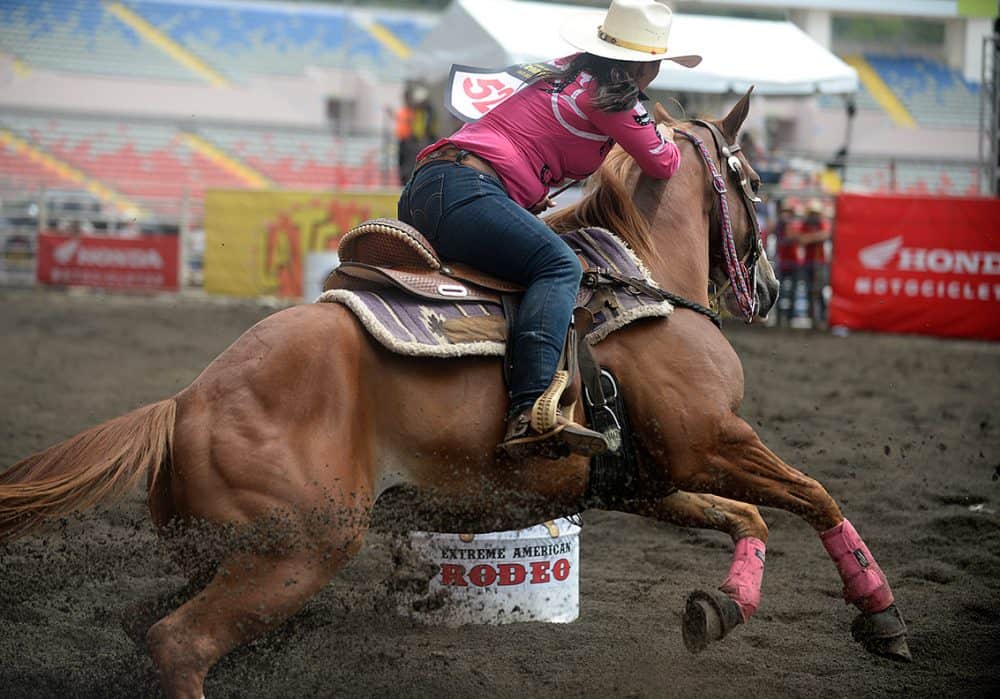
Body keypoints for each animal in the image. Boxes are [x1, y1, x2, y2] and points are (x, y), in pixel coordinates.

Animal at [0, 91, 908, 696]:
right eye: (754, 178)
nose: (768, 286)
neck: (645, 279)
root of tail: (186, 401)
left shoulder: (650, 477)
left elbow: (752, 517)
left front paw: (719, 608)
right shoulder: (711, 440)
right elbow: (816, 495)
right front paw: (881, 618)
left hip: (224, 551)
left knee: (143, 624)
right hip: (300, 551)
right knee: (179, 643)